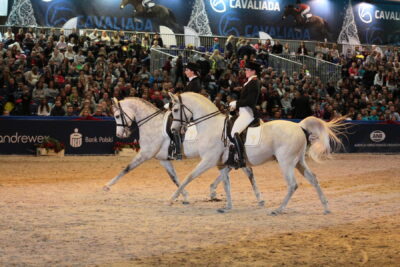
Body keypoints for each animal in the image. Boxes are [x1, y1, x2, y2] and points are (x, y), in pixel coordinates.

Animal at [104, 97, 264, 206]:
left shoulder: (146, 153)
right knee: (244, 170)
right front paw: (185, 196)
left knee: (241, 169)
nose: (120, 135)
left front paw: (107, 186)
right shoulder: (163, 159)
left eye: (117, 116)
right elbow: (174, 178)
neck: (152, 124)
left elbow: (127, 168)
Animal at [167, 93, 346, 215]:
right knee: (313, 178)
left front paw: (173, 198)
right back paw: (326, 207)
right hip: (299, 161)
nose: (173, 129)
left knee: (292, 184)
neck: (211, 125)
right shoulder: (222, 163)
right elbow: (226, 184)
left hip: (286, 162)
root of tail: (299, 126)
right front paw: (227, 206)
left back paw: (278, 209)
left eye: (175, 110)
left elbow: (189, 177)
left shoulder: (208, 160)